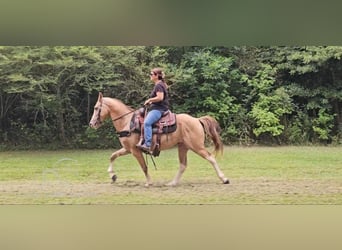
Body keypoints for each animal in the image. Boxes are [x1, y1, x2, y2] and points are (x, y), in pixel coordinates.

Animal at [89, 93, 230, 187]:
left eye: (96, 108)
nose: (91, 124)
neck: (127, 122)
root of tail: (196, 120)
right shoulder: (127, 149)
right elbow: (113, 156)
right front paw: (112, 176)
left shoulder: (135, 150)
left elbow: (144, 167)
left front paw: (149, 182)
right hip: (183, 147)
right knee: (183, 165)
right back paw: (172, 183)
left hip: (197, 146)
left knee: (211, 158)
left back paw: (224, 179)